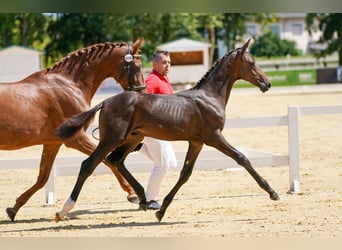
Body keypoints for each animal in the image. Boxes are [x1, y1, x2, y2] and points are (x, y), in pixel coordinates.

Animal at [1, 36, 146, 221]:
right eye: (136, 65)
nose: (141, 93)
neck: (69, 85)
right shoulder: (75, 138)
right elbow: (104, 160)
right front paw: (132, 194)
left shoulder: (52, 143)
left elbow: (42, 178)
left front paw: (14, 208)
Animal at [54, 39, 280, 223]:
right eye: (250, 63)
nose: (267, 83)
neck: (209, 97)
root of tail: (106, 101)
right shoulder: (214, 137)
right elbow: (242, 158)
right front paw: (272, 192)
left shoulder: (196, 142)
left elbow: (185, 174)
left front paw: (161, 211)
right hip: (111, 139)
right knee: (88, 165)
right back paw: (63, 210)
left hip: (131, 139)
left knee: (116, 160)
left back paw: (143, 198)